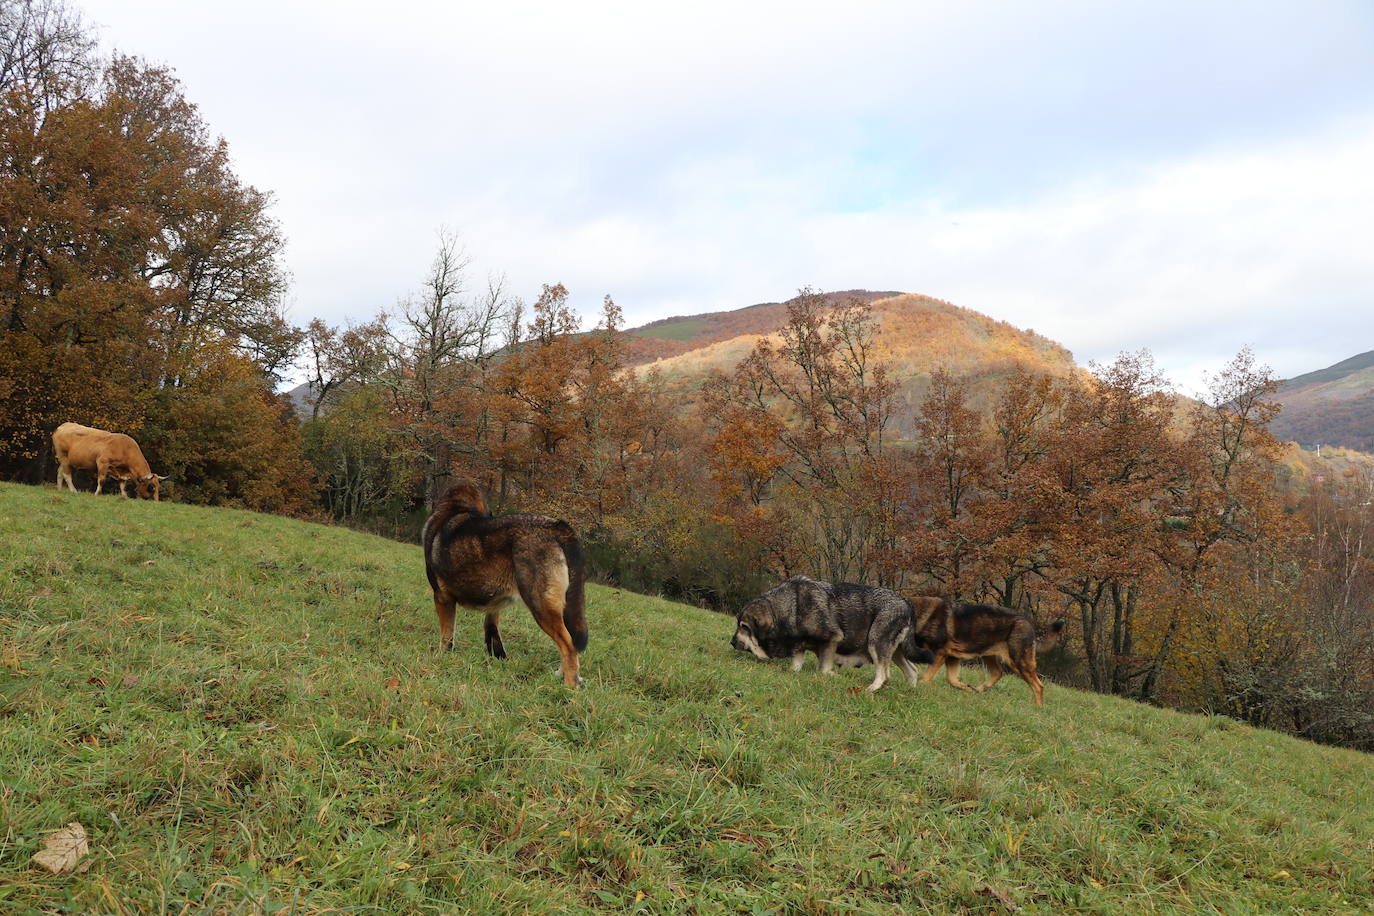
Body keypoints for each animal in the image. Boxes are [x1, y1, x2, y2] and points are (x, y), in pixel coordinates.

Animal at [420, 486, 588, 686]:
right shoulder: (494, 605)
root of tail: (556, 525)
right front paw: (497, 657)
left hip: (541, 606)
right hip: (562, 608)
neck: (456, 509)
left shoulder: (442, 597)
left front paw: (440, 658)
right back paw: (564, 675)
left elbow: (447, 635)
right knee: (571, 643)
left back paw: (569, 685)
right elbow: (492, 630)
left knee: (568, 645)